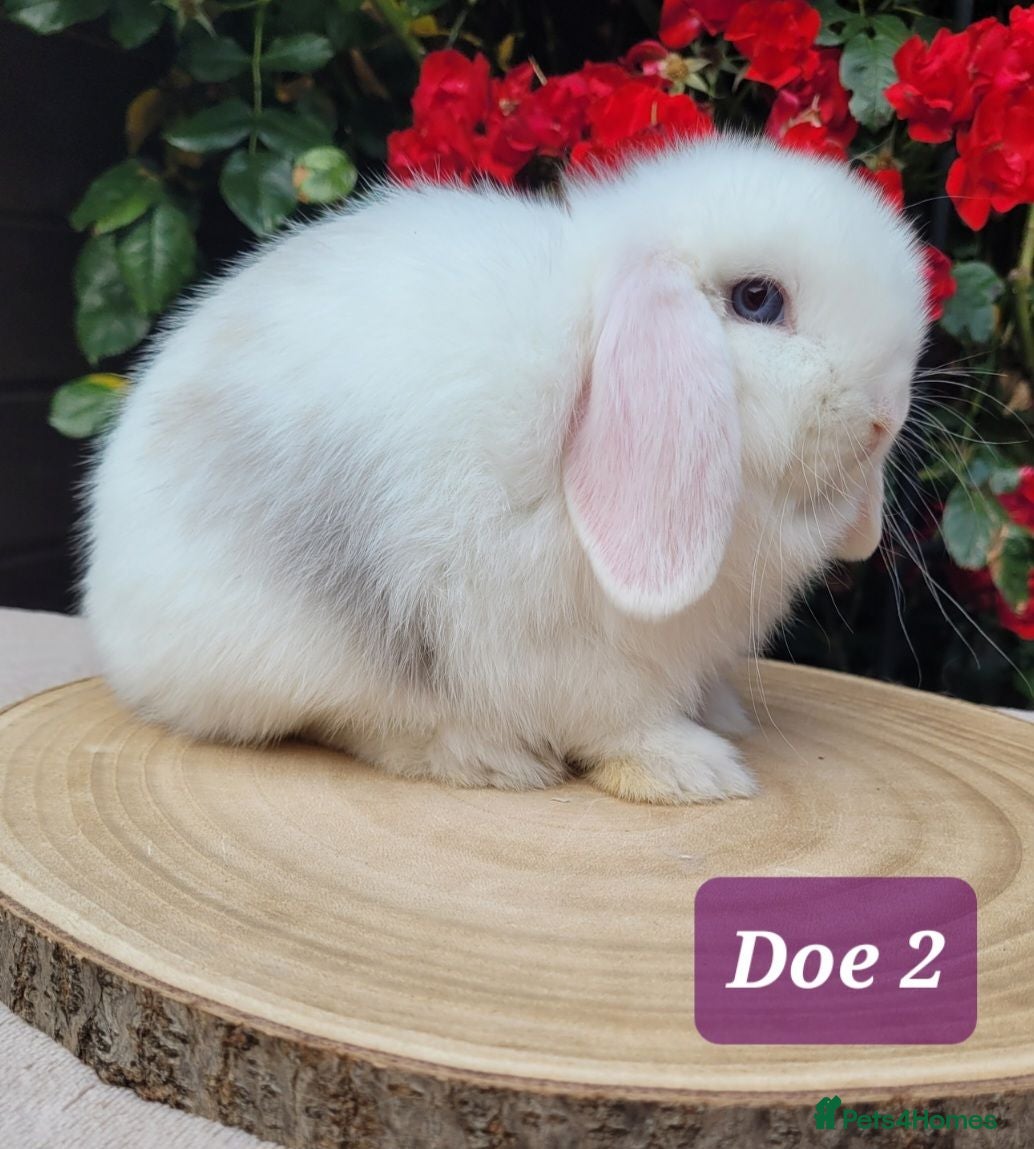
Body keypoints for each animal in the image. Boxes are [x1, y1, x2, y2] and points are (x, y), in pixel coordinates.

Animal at [80, 134, 928, 805]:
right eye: (758, 299)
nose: (884, 417)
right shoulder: (563, 646)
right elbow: (621, 718)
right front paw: (695, 769)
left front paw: (719, 714)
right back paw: (490, 760)